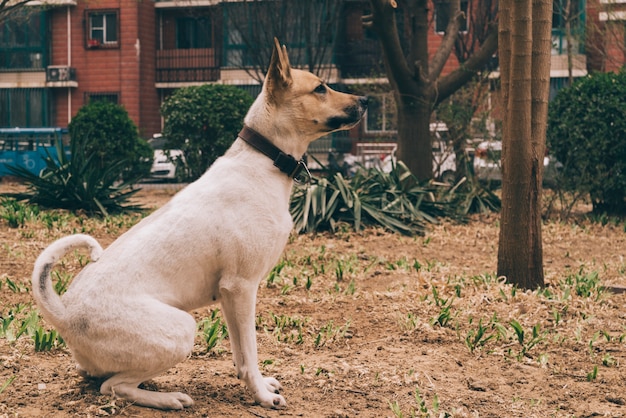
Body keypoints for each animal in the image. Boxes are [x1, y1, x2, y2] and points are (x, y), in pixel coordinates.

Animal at [30, 37, 366, 410]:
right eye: (320, 88)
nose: (366, 101)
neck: (262, 162)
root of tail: (64, 314)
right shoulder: (241, 288)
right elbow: (250, 351)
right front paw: (262, 396)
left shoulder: (232, 297)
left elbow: (241, 355)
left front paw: (259, 384)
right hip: (181, 329)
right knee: (114, 387)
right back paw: (169, 398)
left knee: (100, 378)